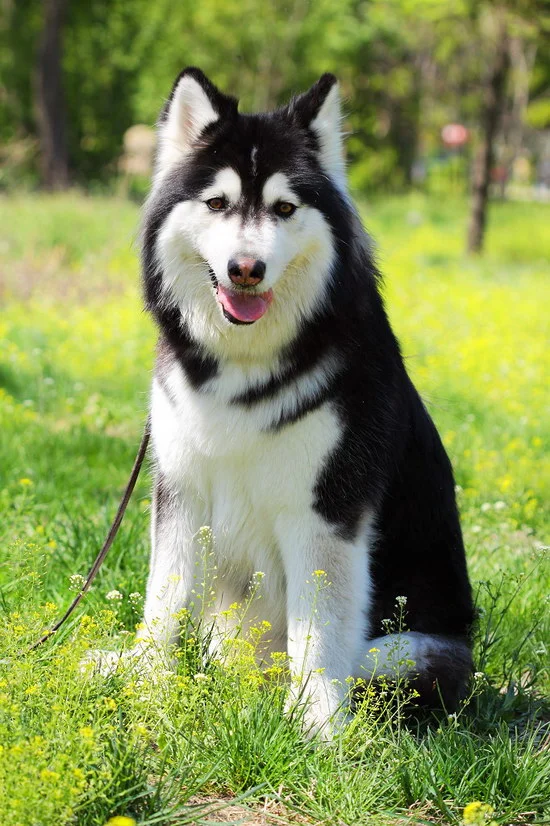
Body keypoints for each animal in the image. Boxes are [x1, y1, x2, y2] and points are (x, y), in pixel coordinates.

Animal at [135, 67, 474, 732]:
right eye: (216, 203)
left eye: (285, 208)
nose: (245, 268)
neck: (245, 363)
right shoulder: (181, 487)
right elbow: (163, 596)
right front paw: (140, 678)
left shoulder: (322, 508)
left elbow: (316, 629)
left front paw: (316, 724)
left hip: (409, 651)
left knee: (356, 659)